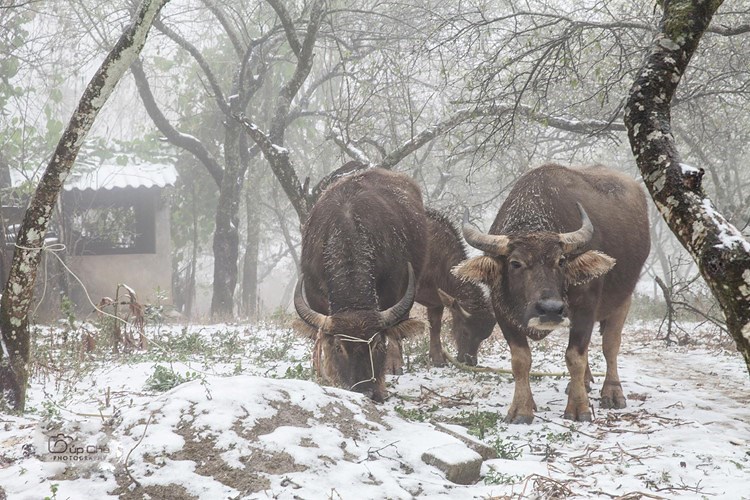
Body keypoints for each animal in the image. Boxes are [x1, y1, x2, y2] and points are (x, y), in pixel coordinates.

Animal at [418, 209, 500, 366]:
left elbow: (435, 327)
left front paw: (438, 359)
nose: (470, 360)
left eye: (484, 336)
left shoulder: (437, 301)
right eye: (465, 331)